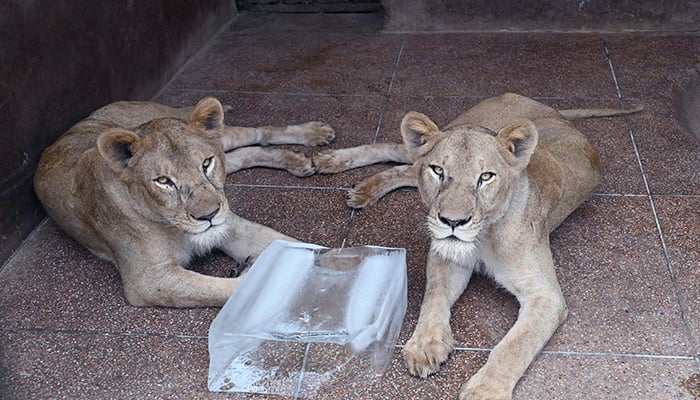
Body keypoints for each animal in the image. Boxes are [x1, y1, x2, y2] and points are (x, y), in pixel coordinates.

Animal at [34, 97, 334, 310]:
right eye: (163, 181)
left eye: (206, 163)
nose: (209, 215)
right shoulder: (148, 281)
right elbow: (231, 289)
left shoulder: (230, 225)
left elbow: (301, 246)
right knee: (245, 153)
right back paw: (296, 160)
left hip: (221, 135)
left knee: (257, 132)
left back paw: (314, 135)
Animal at [314, 92, 644, 398]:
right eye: (438, 171)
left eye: (485, 177)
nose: (452, 221)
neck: (484, 237)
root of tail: (553, 112)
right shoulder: (447, 259)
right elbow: (433, 298)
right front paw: (425, 343)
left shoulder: (546, 298)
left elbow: (514, 346)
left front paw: (485, 390)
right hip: (431, 140)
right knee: (396, 152)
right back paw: (328, 162)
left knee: (404, 169)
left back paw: (361, 187)